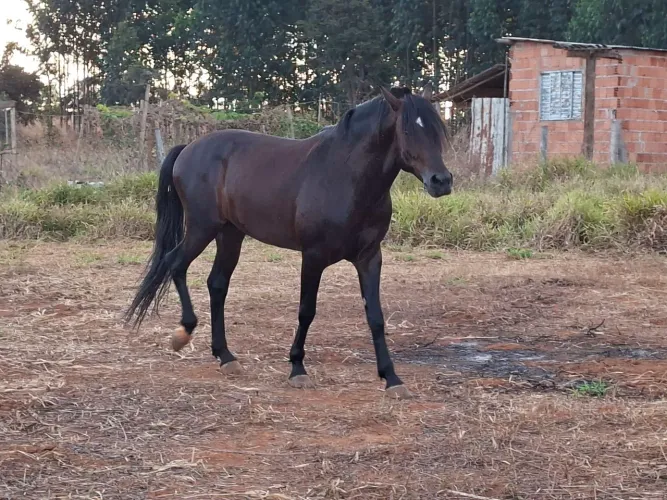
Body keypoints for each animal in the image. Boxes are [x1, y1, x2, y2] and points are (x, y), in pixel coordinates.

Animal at [124, 84, 453, 399]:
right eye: (408, 131)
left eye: (437, 130)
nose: (442, 181)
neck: (346, 176)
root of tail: (188, 149)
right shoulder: (313, 256)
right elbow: (306, 311)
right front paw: (297, 368)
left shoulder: (370, 257)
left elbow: (376, 317)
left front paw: (392, 378)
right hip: (202, 228)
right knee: (175, 264)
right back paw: (184, 333)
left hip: (230, 234)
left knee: (216, 284)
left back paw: (226, 356)